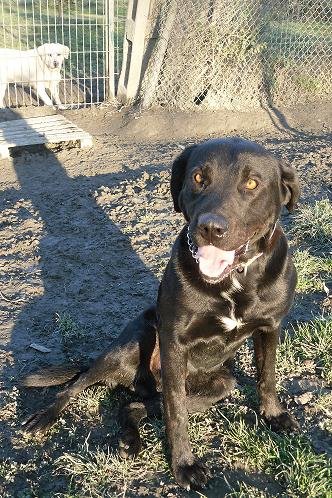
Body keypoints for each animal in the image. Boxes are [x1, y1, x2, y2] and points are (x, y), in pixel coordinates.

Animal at [22, 138, 298, 488]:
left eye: (251, 184)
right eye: (198, 178)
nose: (210, 228)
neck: (234, 279)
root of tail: (139, 380)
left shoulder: (269, 327)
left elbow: (267, 376)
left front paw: (274, 415)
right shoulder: (175, 344)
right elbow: (176, 413)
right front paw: (184, 465)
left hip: (220, 384)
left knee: (134, 405)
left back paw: (130, 439)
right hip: (133, 342)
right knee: (78, 384)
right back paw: (46, 416)